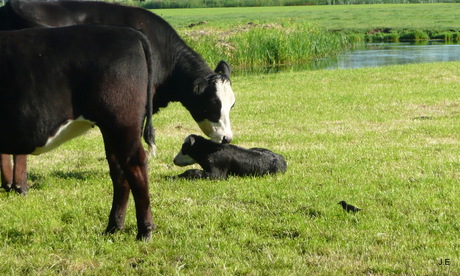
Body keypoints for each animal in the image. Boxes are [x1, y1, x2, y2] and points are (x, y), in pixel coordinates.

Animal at [0, 25, 155, 239]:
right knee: (119, 171)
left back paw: (144, 231)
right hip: (112, 130)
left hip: (122, 122)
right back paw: (113, 228)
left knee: (135, 166)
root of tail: (129, 32)